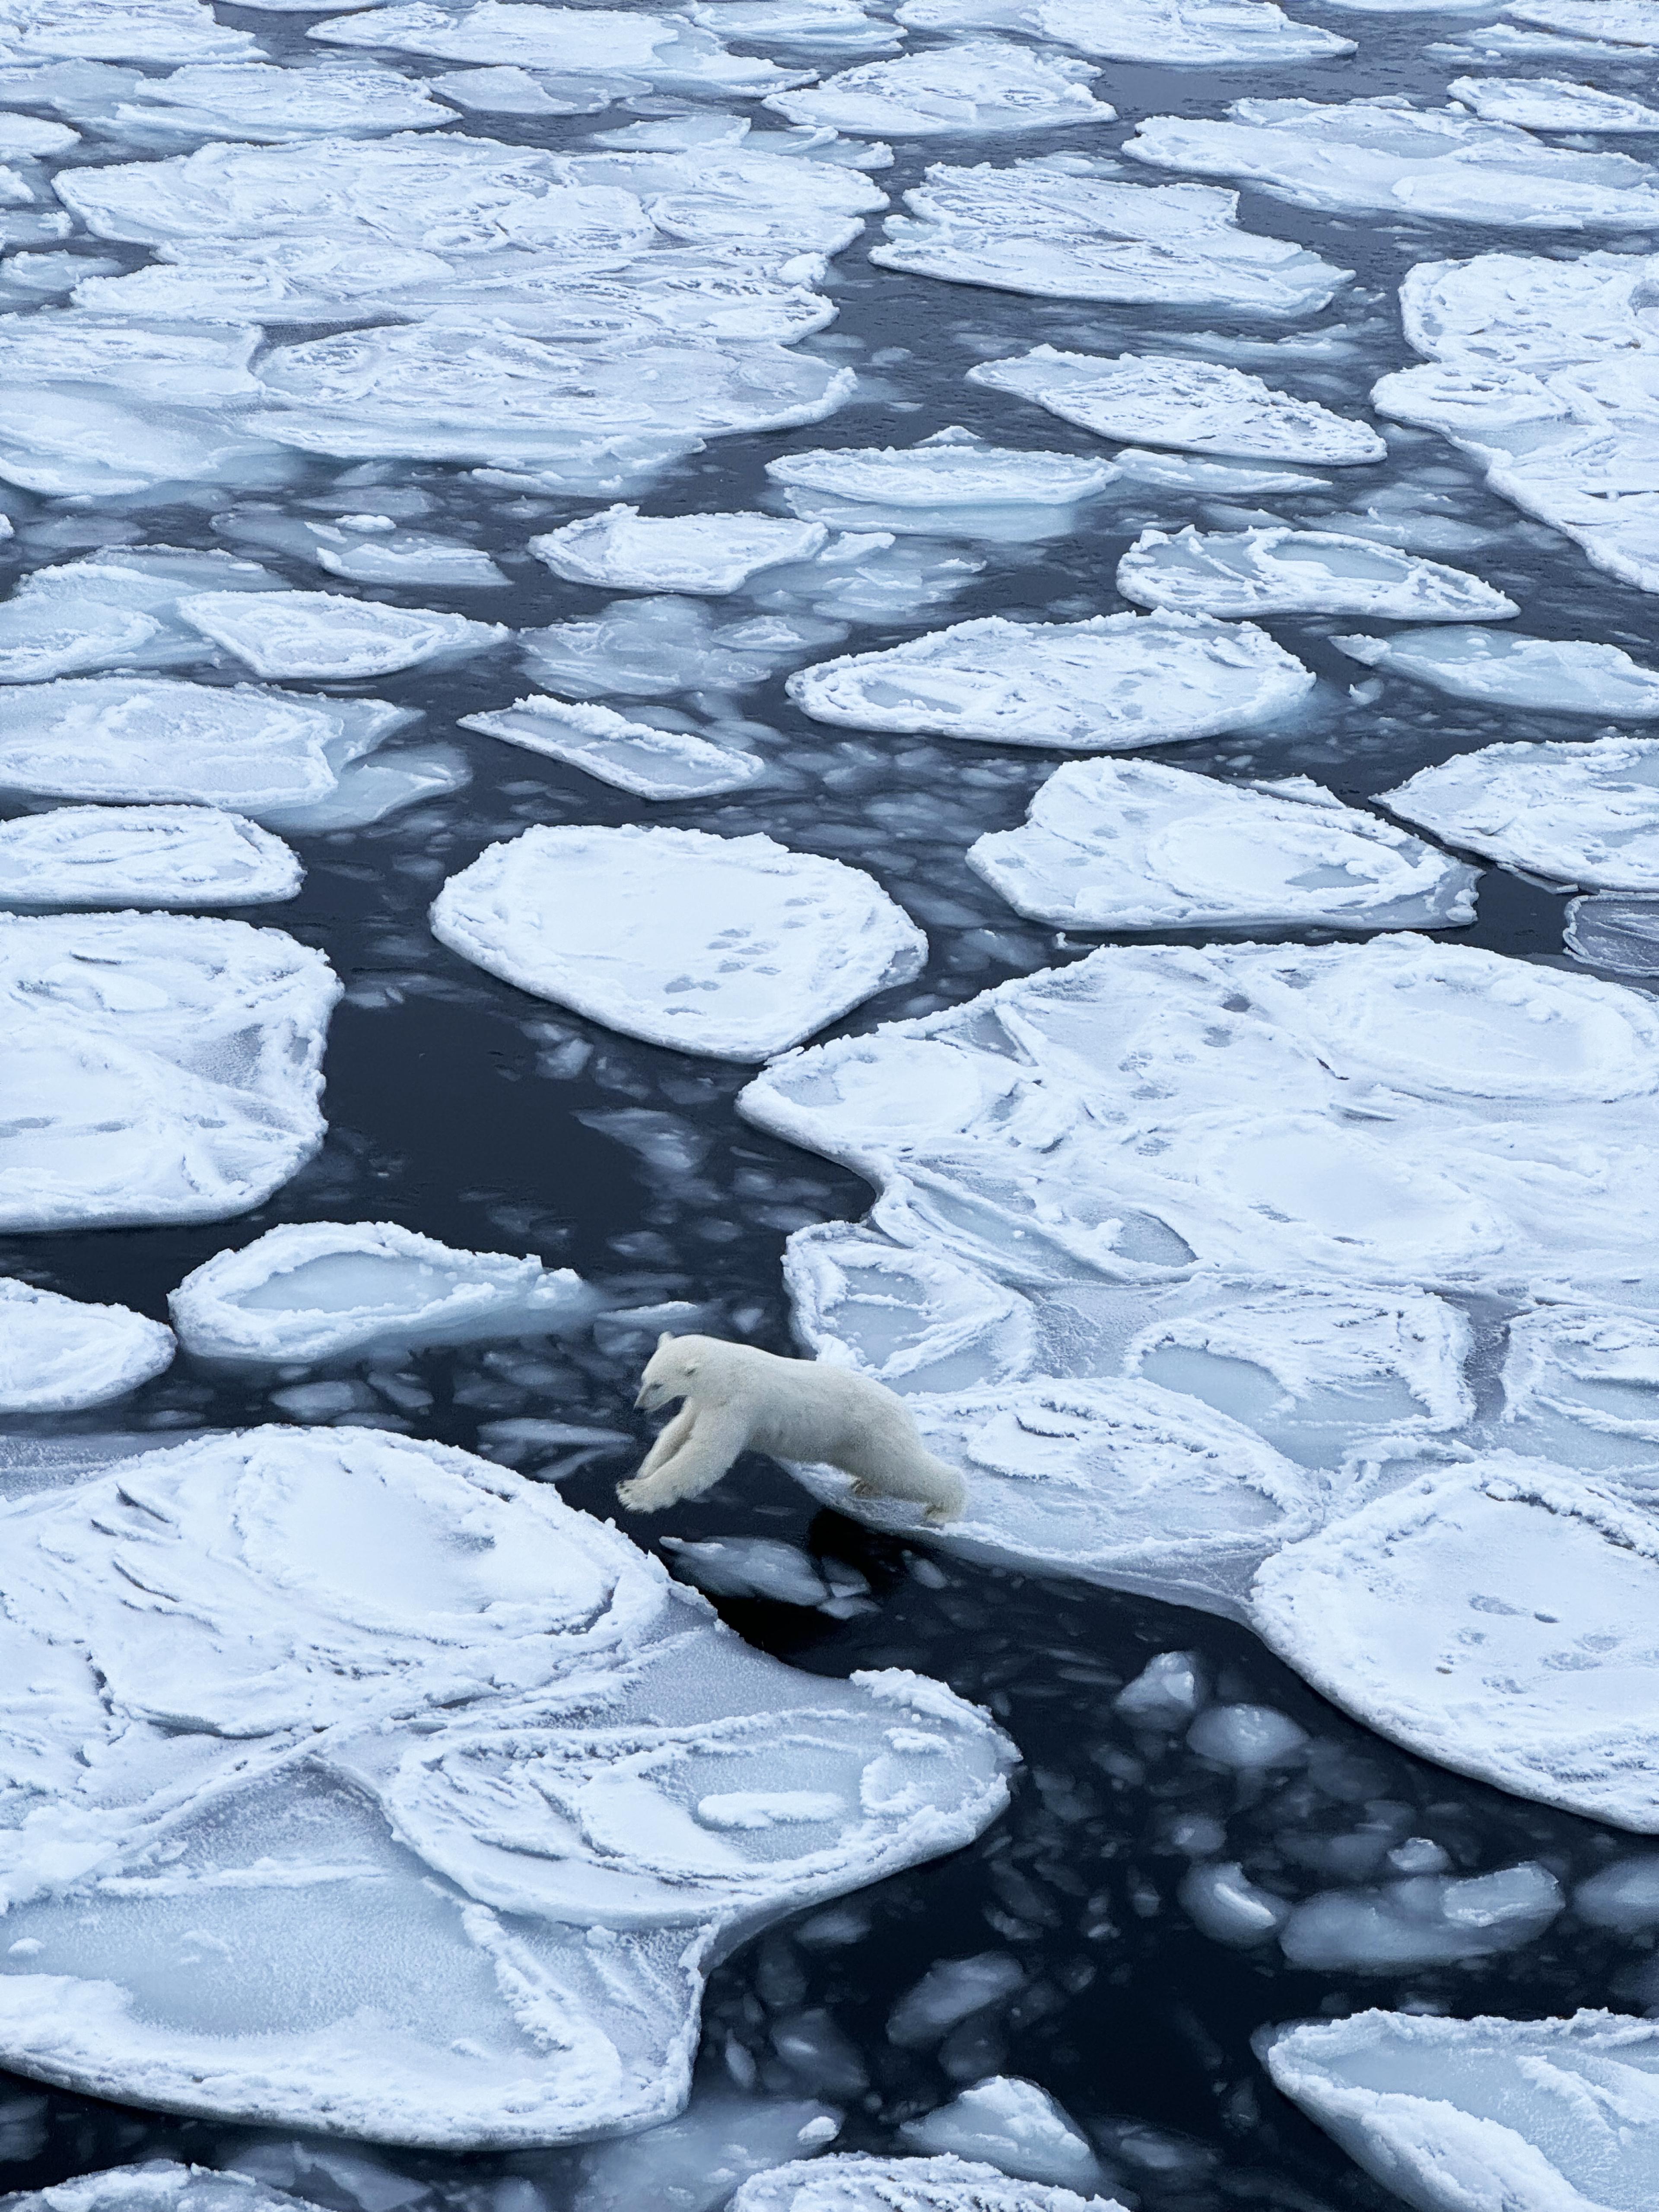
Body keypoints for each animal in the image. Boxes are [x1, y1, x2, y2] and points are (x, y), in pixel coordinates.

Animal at [617, 1332, 967, 1523]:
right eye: (645, 1378)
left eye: (658, 1385)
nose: (639, 1407)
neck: (727, 1372)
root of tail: (906, 1412)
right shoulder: (705, 1402)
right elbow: (677, 1432)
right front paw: (644, 1470)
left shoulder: (739, 1405)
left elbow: (705, 1457)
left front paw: (634, 1494)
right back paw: (865, 1486)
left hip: (871, 1437)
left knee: (905, 1472)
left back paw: (944, 1510)